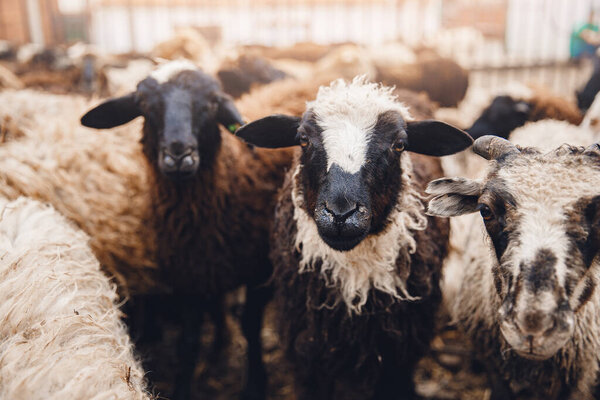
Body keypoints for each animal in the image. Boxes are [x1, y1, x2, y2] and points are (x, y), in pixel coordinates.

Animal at [81, 59, 294, 400]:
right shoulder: (190, 275)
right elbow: (188, 342)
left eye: (211, 104)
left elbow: (250, 327)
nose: (179, 155)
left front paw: (255, 384)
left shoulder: (261, 270)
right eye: (144, 104)